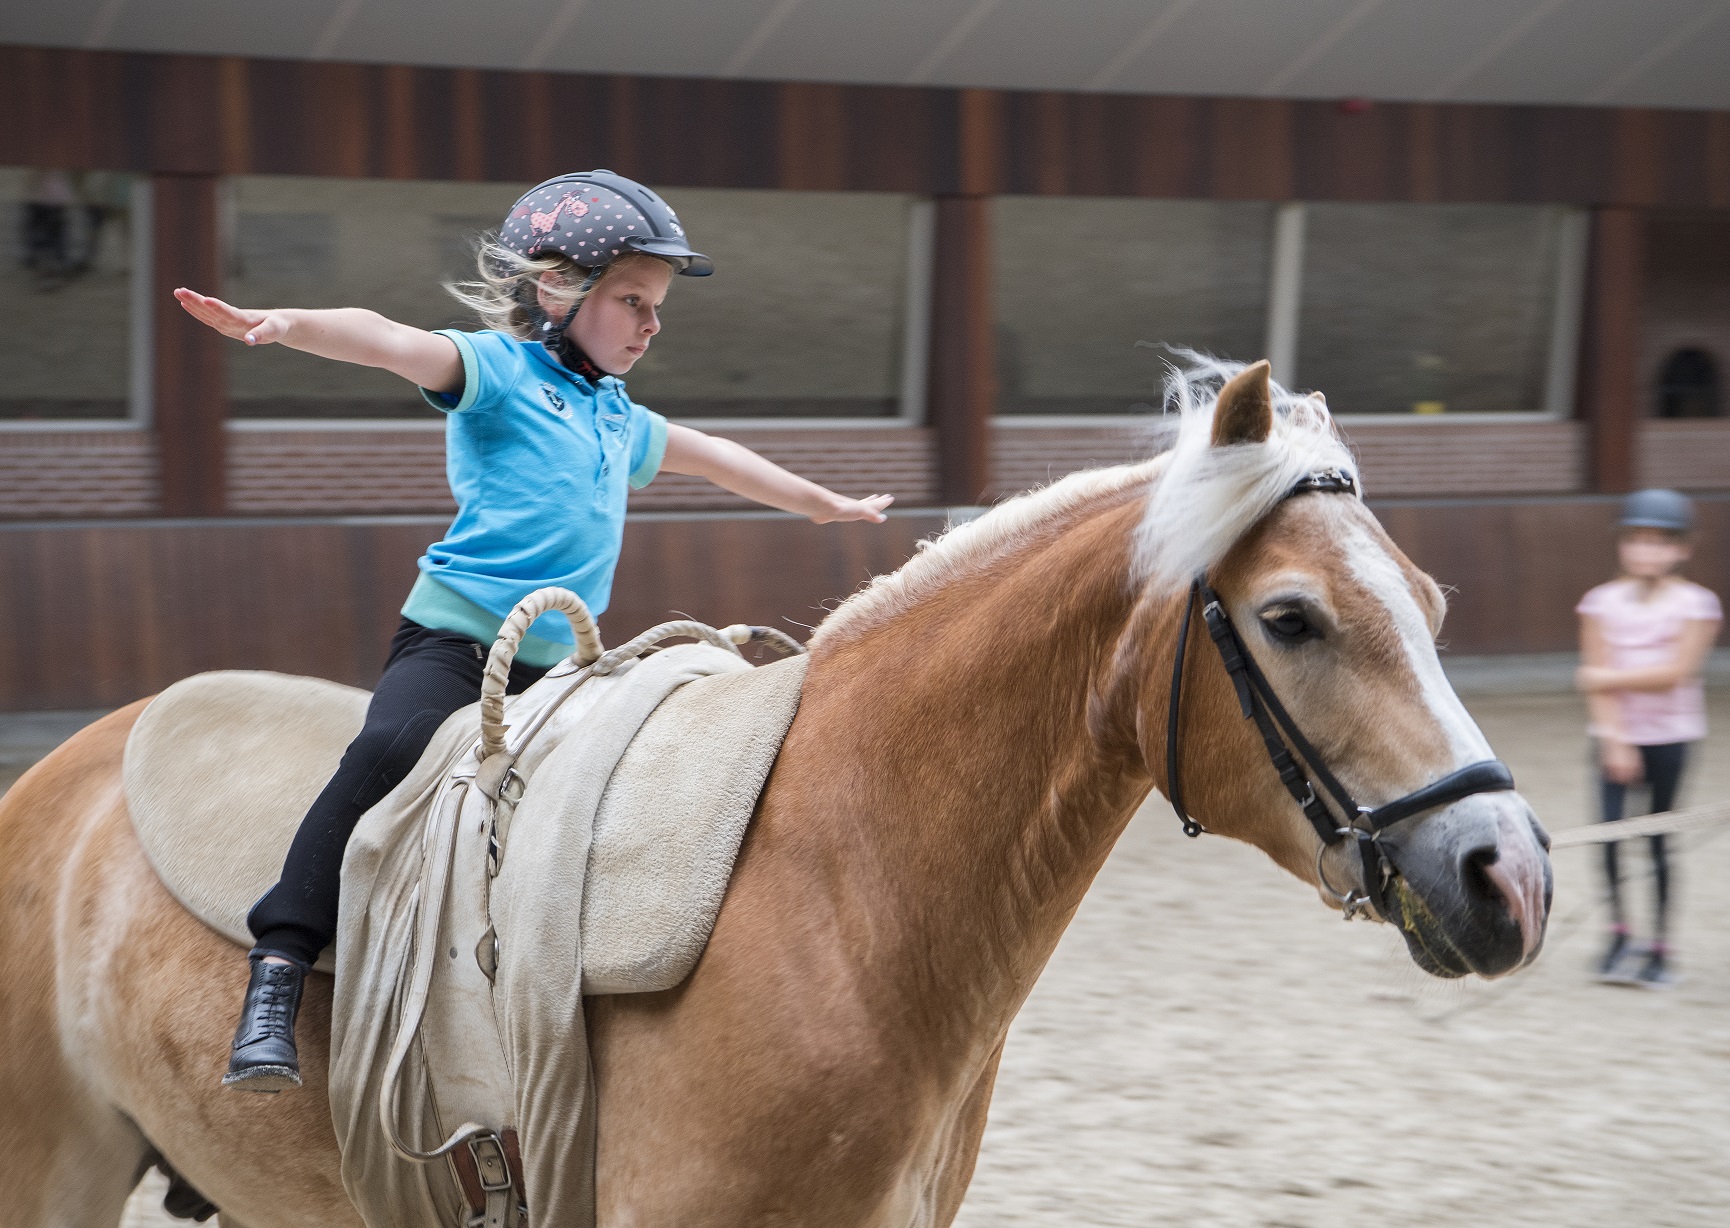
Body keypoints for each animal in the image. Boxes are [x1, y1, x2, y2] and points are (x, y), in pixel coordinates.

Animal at [0, 361, 1543, 1224]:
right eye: (1290, 618)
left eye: (1427, 602)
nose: (1507, 873)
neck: (842, 892)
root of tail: (62, 774)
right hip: (52, 1174)